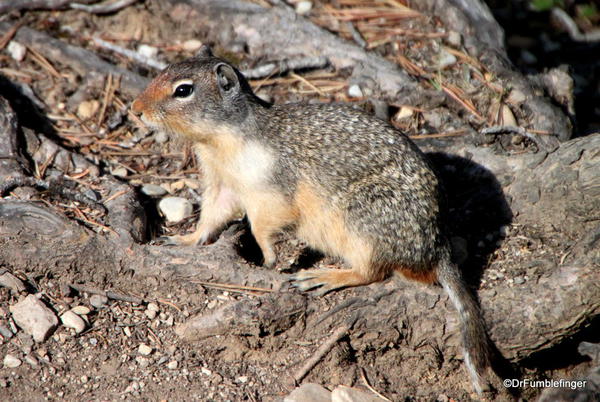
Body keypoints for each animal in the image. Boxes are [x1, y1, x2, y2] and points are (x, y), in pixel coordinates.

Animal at [131, 46, 492, 392]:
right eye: (164, 70)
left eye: (183, 90)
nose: (135, 108)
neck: (222, 140)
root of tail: (438, 247)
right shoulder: (222, 185)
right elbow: (210, 218)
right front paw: (184, 239)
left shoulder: (272, 190)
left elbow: (264, 225)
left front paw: (269, 257)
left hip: (364, 220)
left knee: (372, 271)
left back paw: (324, 277)